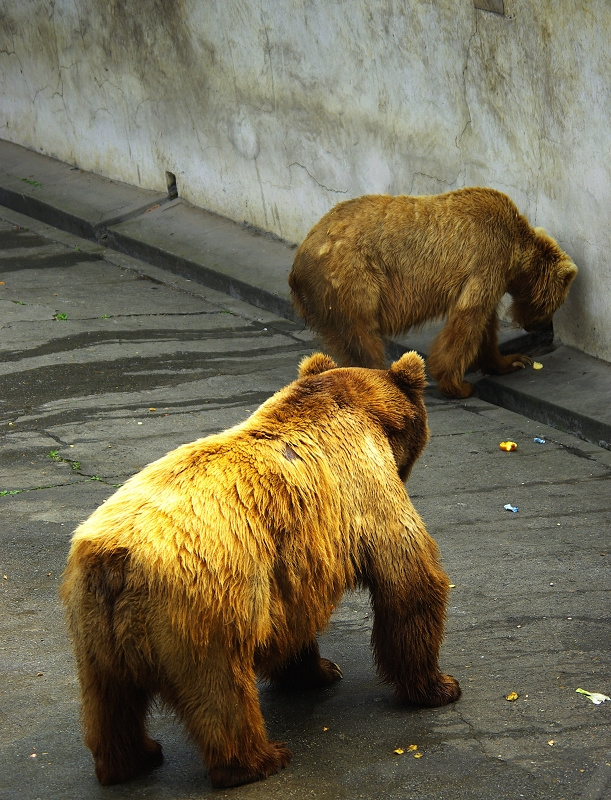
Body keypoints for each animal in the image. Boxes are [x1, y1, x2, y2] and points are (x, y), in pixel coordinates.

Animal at [62, 350, 462, 788]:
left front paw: (318, 670)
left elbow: (295, 622)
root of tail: (116, 559)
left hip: (92, 629)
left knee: (109, 702)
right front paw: (440, 686)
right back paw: (259, 759)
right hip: (205, 607)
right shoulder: (366, 491)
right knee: (221, 691)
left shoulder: (290, 569)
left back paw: (133, 759)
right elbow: (408, 578)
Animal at [290, 188, 580, 400]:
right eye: (556, 304)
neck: (515, 253)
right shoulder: (487, 260)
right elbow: (467, 320)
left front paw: (511, 361)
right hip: (352, 280)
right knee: (362, 339)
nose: (541, 326)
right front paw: (459, 385)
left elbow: (485, 326)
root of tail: (297, 264)